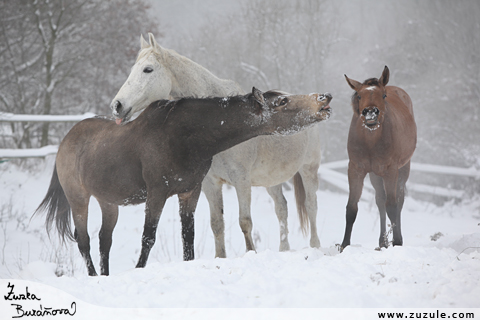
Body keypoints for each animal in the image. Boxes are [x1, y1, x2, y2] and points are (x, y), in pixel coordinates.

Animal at [34, 87, 334, 276]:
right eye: (282, 102)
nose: (325, 97)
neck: (185, 136)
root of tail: (65, 141)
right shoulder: (156, 194)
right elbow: (148, 237)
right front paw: (139, 269)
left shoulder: (191, 192)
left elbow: (187, 236)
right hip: (78, 198)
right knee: (83, 239)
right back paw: (95, 276)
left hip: (109, 202)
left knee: (103, 240)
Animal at [111, 33, 326, 258]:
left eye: (148, 69)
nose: (117, 105)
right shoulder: (210, 183)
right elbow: (217, 224)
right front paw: (219, 257)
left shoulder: (241, 179)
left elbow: (245, 222)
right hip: (271, 179)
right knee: (281, 208)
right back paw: (284, 249)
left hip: (309, 169)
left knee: (311, 206)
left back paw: (315, 246)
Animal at [342, 66, 416, 249]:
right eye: (359, 96)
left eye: (383, 95)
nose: (370, 113)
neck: (371, 141)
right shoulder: (356, 169)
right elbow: (351, 208)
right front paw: (344, 245)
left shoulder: (391, 171)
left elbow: (392, 206)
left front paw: (397, 242)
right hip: (375, 174)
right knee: (380, 201)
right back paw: (382, 241)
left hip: (403, 168)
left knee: (398, 201)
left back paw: (396, 239)